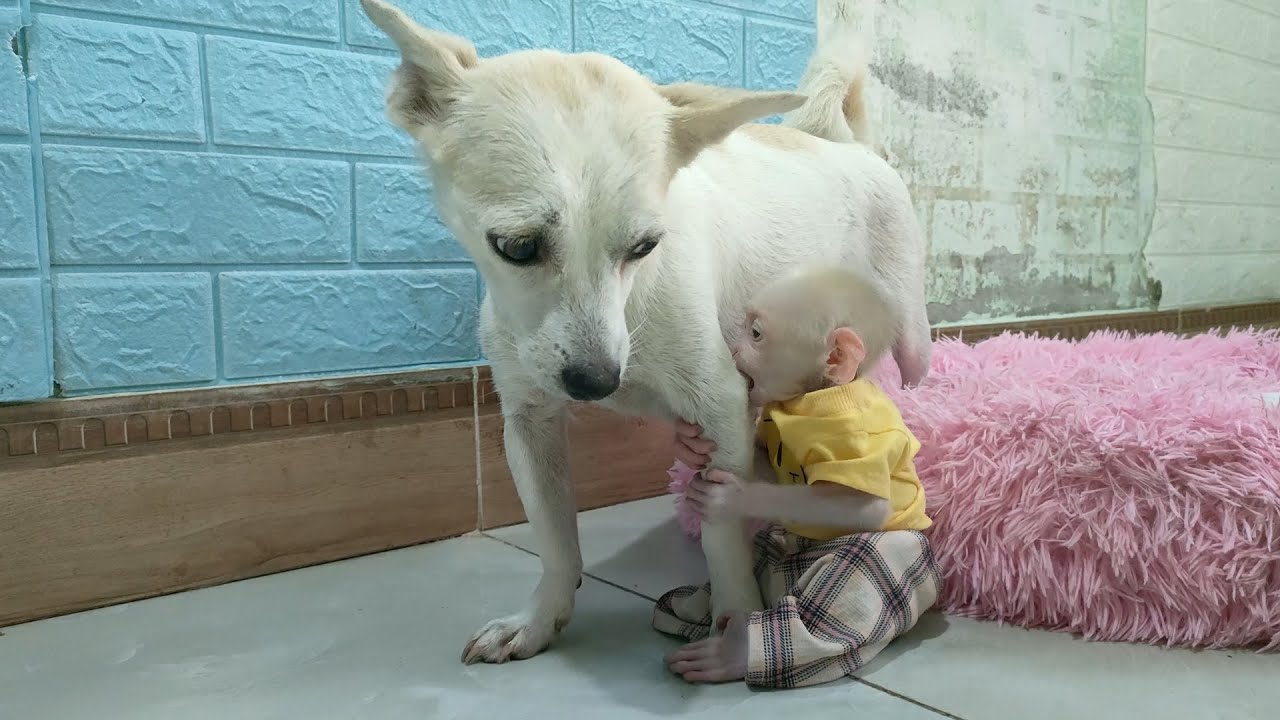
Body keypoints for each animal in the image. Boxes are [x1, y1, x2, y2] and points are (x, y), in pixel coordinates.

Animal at [657, 265, 937, 686]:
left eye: (755, 334)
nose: (732, 351)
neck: (811, 396)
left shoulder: (851, 430)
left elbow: (861, 505)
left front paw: (731, 497)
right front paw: (687, 442)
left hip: (886, 556)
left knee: (850, 581)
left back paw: (735, 649)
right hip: (769, 553)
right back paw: (692, 607)